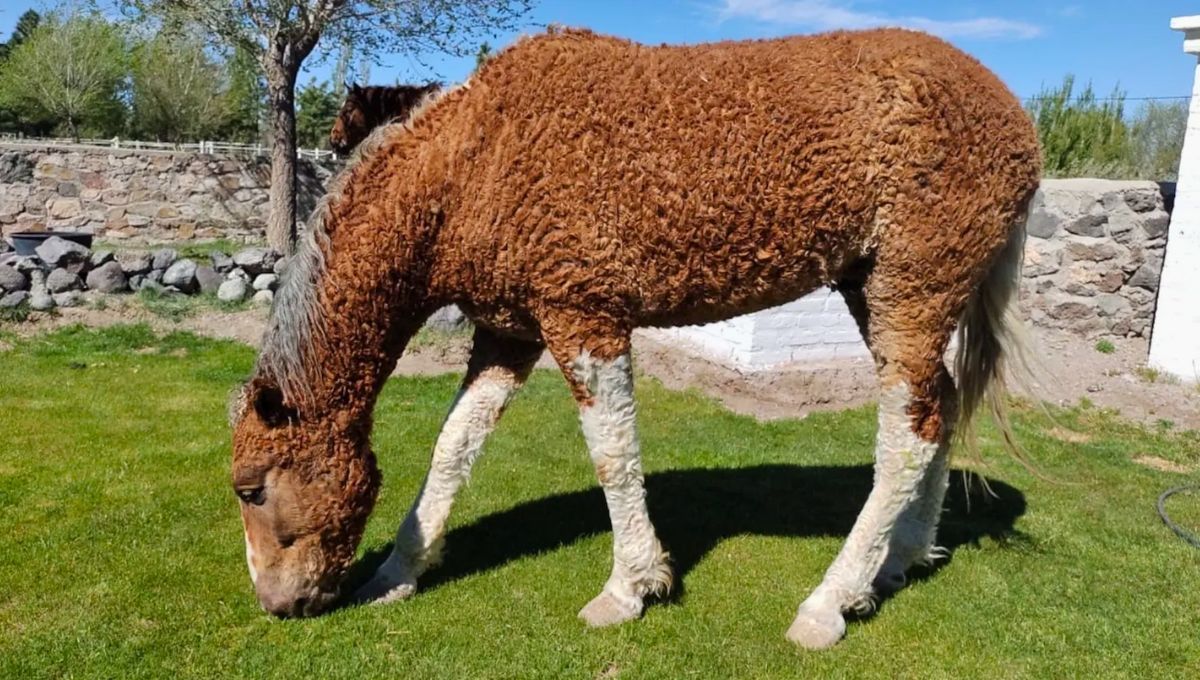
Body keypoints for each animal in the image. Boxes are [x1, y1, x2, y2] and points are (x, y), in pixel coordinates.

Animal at [230, 27, 1041, 650]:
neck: (474, 163)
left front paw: (631, 586)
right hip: (873, 289)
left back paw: (830, 601)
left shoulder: (584, 320)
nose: (275, 603)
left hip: (912, 286)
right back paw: (901, 557)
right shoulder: (506, 335)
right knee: (938, 413)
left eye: (251, 489)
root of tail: (1017, 121)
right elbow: (454, 445)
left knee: (907, 433)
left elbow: (613, 455)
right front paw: (401, 569)